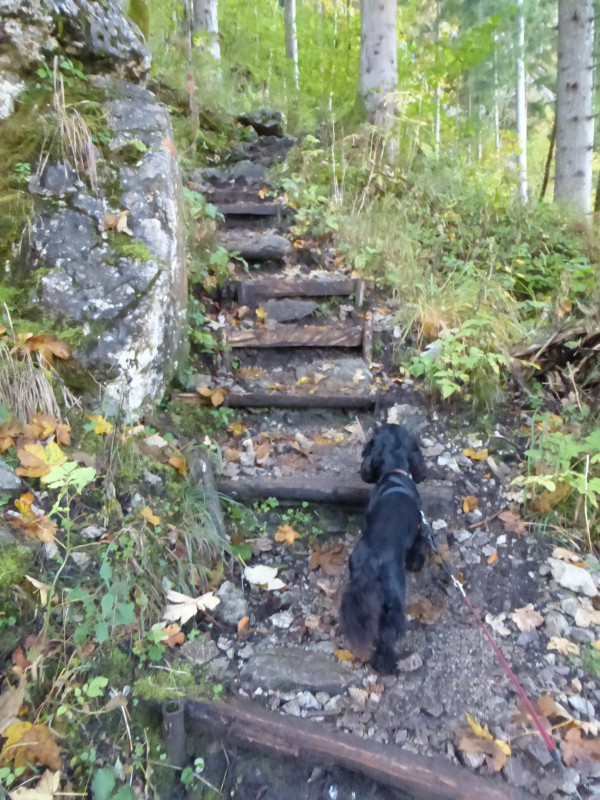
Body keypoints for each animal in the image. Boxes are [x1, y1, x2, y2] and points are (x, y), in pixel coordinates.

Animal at [340, 422, 428, 672]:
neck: (394, 473)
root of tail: (373, 562)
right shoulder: (420, 526)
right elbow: (420, 546)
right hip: (395, 602)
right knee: (388, 635)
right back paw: (385, 663)